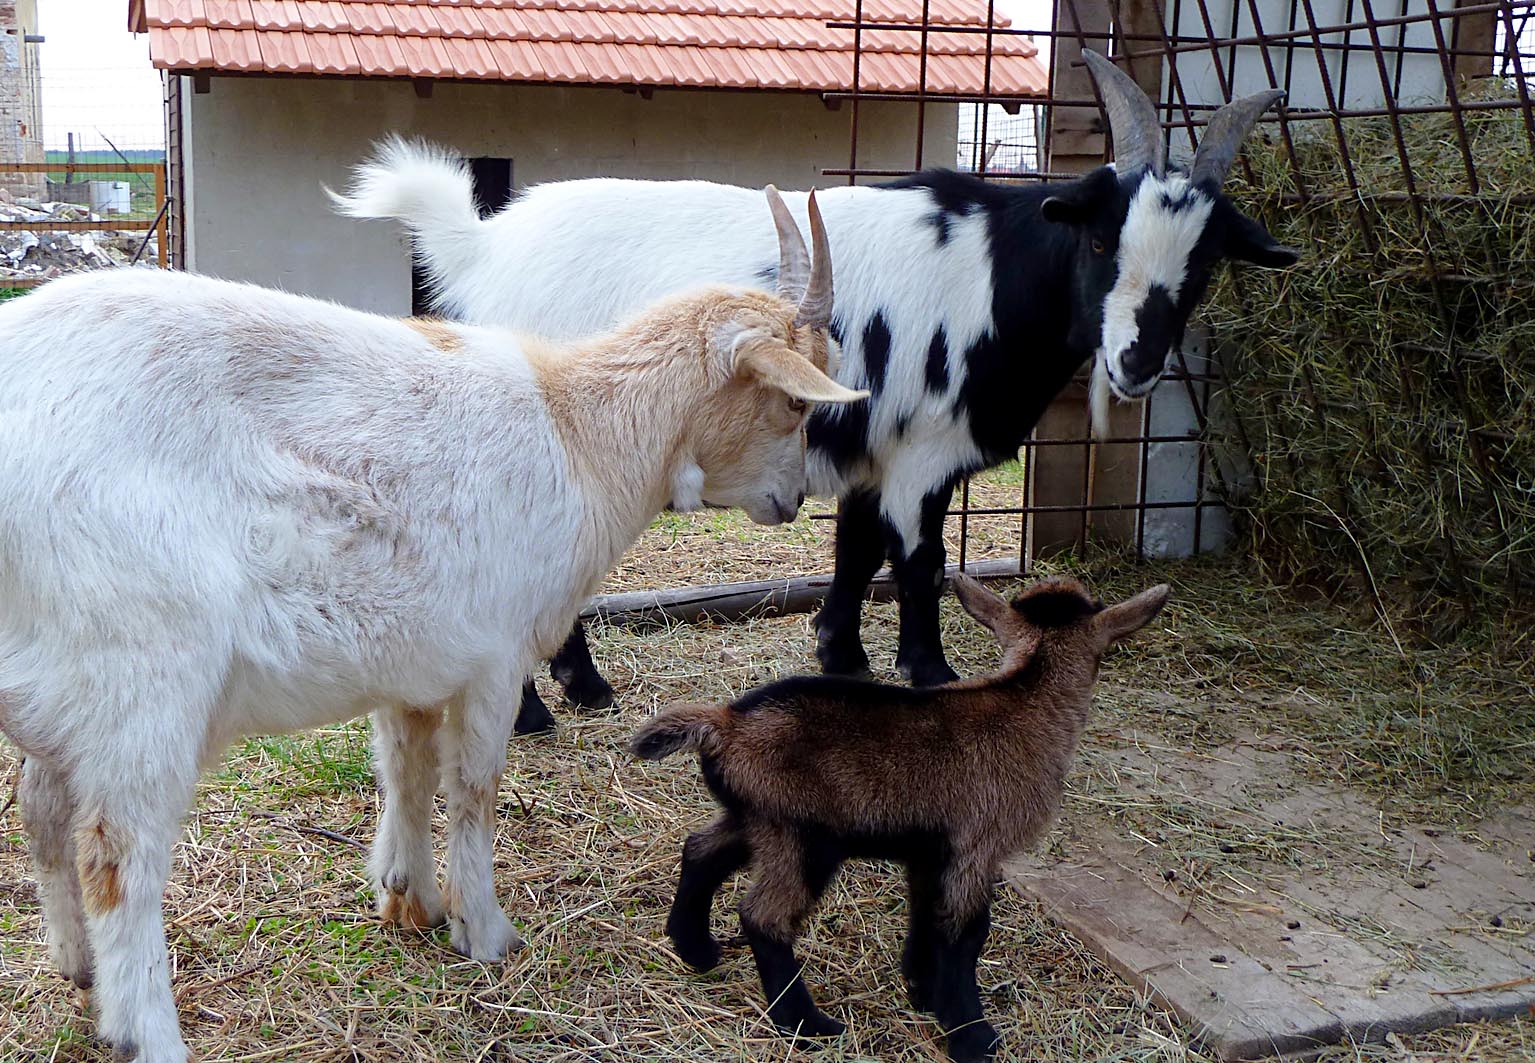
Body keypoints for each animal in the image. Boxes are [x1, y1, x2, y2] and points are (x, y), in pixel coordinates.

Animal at [0, 199, 865, 1055]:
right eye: (794, 400)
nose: (792, 500)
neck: (578, 432)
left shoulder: (411, 658)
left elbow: (405, 767)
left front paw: (407, 894)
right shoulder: (494, 659)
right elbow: (474, 786)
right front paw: (484, 928)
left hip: (66, 685)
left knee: (42, 806)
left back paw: (76, 963)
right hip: (143, 671)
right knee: (119, 855)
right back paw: (147, 1030)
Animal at [336, 51, 1295, 730]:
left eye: (1204, 261)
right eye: (1100, 241)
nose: (1135, 362)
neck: (993, 276)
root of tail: (483, 246)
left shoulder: (873, 440)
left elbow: (856, 547)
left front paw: (842, 658)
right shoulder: (923, 450)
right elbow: (918, 562)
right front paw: (930, 673)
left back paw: (582, 688)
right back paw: (537, 708)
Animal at [629, 576, 1166, 1055]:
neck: (1025, 702)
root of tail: (726, 723)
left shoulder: (930, 850)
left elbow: (926, 915)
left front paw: (925, 995)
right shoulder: (978, 845)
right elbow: (965, 932)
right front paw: (971, 1037)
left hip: (756, 817)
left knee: (700, 850)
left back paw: (697, 951)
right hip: (804, 836)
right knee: (765, 916)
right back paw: (807, 1025)